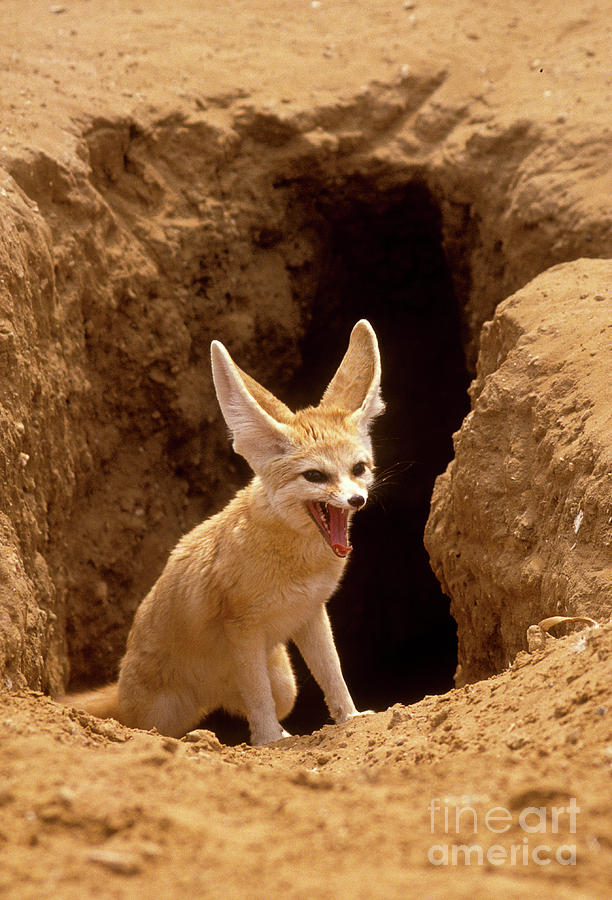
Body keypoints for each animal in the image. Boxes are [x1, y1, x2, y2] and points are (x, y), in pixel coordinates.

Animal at [65, 320, 382, 740]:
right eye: (315, 476)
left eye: (358, 469)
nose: (356, 500)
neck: (296, 562)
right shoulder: (242, 628)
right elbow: (258, 695)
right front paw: (270, 741)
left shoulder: (311, 613)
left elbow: (332, 673)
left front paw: (350, 716)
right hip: (164, 713)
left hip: (286, 685)